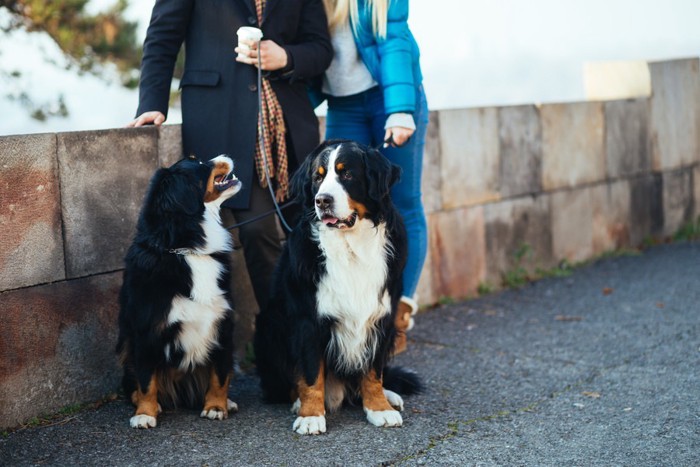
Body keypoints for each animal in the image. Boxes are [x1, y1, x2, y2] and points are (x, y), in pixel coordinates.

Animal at [117, 155, 241, 430]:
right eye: (199, 163)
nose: (225, 156)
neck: (186, 249)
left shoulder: (223, 323)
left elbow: (220, 374)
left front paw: (216, 406)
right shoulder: (147, 329)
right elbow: (146, 379)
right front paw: (145, 413)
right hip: (126, 353)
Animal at [256, 139, 422, 436]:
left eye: (347, 174)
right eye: (318, 177)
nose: (322, 200)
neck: (351, 246)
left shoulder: (381, 317)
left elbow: (373, 371)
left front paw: (379, 408)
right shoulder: (307, 320)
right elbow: (311, 372)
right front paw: (311, 415)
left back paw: (389, 394)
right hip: (268, 328)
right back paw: (298, 402)